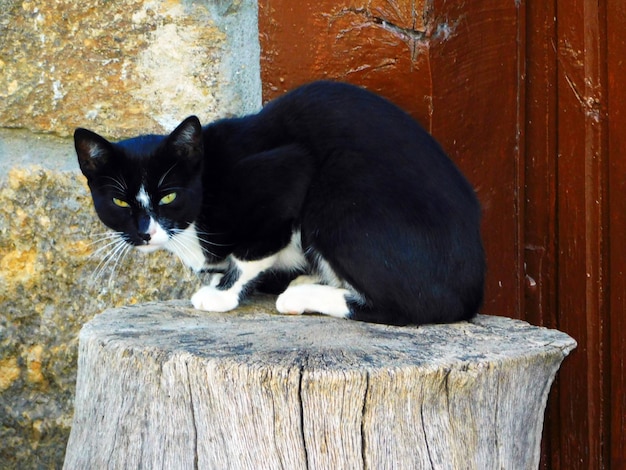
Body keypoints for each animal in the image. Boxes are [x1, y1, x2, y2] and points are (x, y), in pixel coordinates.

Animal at [73, 81, 482, 324]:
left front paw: (222, 294)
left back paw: (301, 294)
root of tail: (473, 291)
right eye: (120, 202)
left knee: (417, 306)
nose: (146, 233)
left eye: (169, 195)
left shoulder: (286, 171)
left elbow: (250, 253)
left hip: (339, 195)